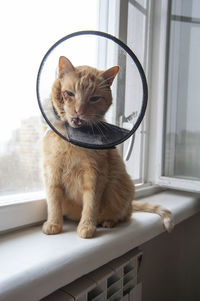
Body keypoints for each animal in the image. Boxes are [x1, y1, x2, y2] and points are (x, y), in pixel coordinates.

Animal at [42, 54, 173, 237]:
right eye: (69, 93)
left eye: (94, 98)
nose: (79, 111)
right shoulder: (52, 172)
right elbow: (53, 202)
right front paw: (54, 223)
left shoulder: (95, 174)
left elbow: (91, 204)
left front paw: (87, 227)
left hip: (122, 190)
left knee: (125, 215)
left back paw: (108, 222)